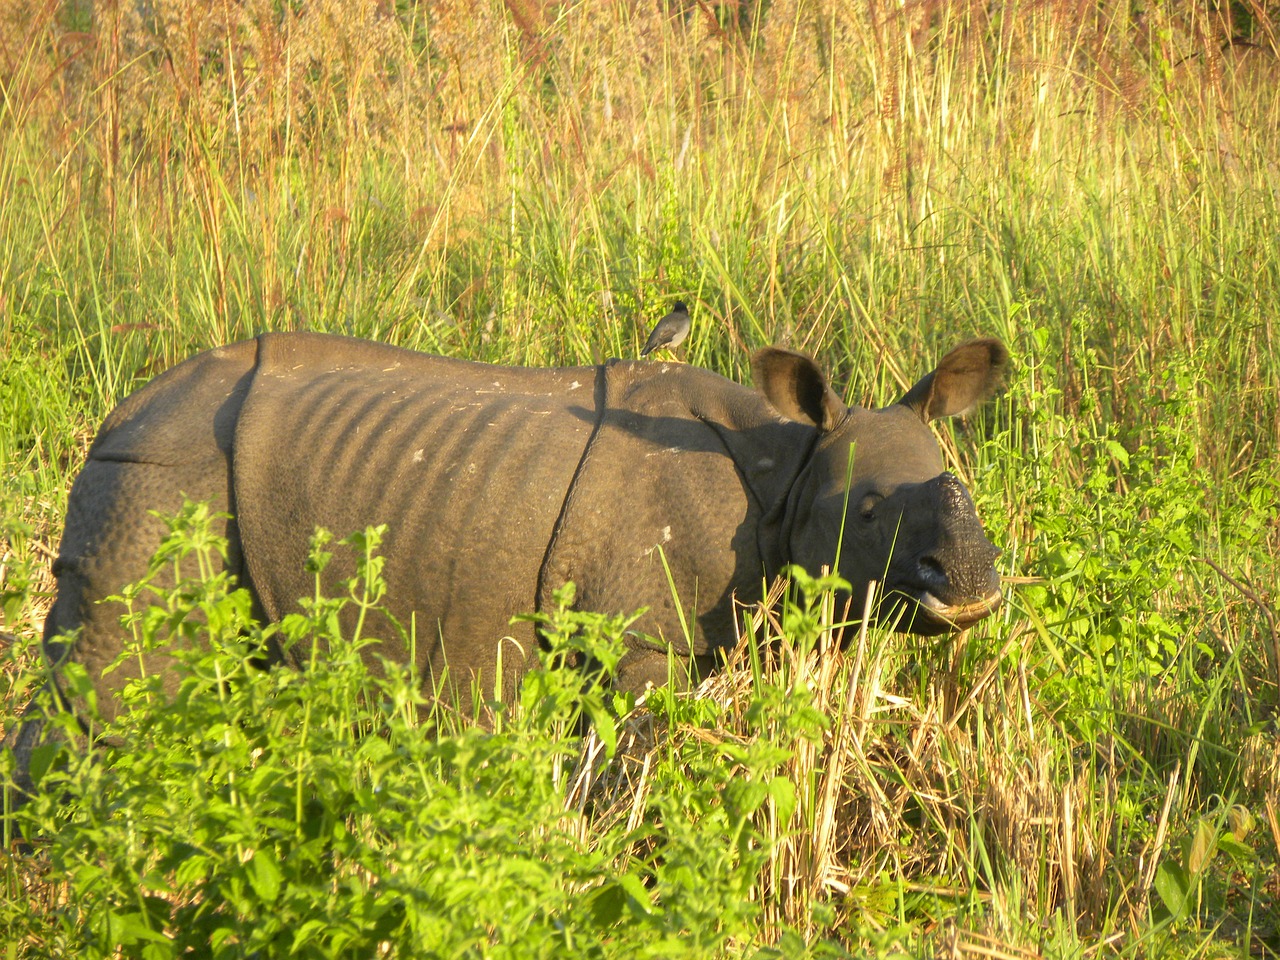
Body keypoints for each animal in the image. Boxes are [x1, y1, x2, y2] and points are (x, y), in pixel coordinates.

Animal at [7, 330, 1008, 783]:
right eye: (867, 512)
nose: (968, 592)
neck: (791, 465)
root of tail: (119, 415)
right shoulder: (637, 636)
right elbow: (639, 758)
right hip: (159, 472)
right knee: (111, 677)